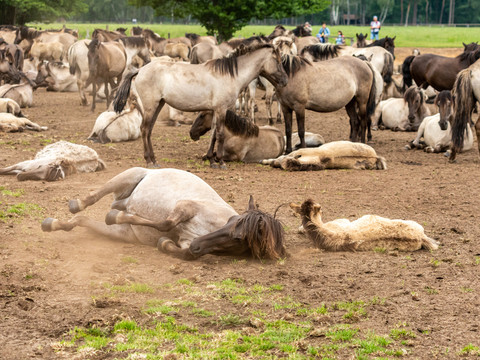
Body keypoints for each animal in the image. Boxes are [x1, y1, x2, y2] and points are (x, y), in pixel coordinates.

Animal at [40, 167, 284, 260]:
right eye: (233, 221)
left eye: (238, 238)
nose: (200, 243)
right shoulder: (186, 206)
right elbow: (166, 223)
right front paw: (113, 216)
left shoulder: (188, 242)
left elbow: (184, 251)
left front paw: (164, 244)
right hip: (131, 174)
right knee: (93, 198)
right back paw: (79, 204)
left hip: (121, 233)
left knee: (81, 220)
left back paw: (54, 223)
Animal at [112, 43, 288, 169]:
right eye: (278, 61)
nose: (285, 80)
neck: (230, 75)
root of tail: (140, 70)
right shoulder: (222, 109)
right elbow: (220, 134)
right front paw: (221, 163)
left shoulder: (216, 111)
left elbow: (214, 134)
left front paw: (212, 160)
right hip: (151, 106)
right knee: (144, 129)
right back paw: (149, 161)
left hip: (158, 105)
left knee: (148, 130)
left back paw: (154, 161)